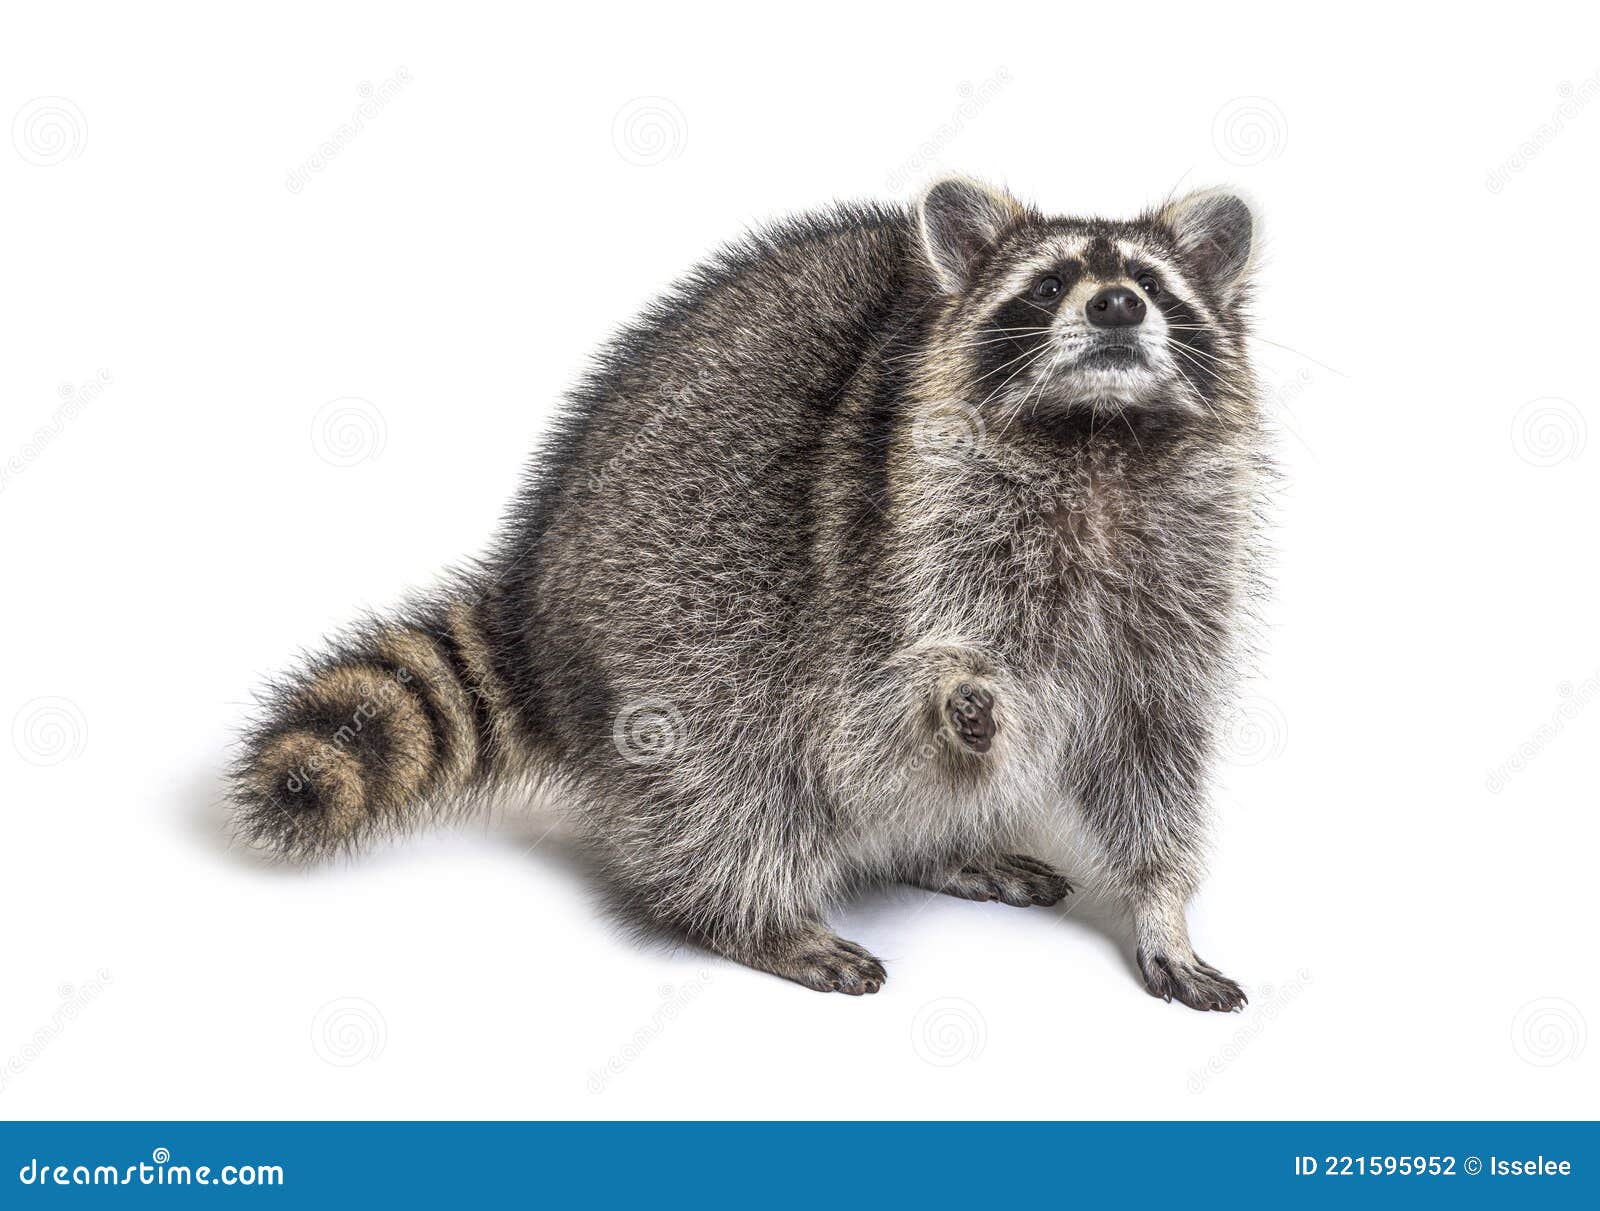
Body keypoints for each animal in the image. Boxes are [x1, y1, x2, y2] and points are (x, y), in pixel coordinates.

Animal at [232, 177, 1265, 1011]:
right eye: (1049, 285)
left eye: (1155, 285)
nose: (1119, 305)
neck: (1095, 436)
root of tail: (538, 585)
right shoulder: (891, 552)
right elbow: (880, 718)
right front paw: (965, 709)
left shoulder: (1176, 583)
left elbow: (1153, 756)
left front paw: (1163, 908)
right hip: (669, 617)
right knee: (728, 776)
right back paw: (754, 914)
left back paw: (937, 846)